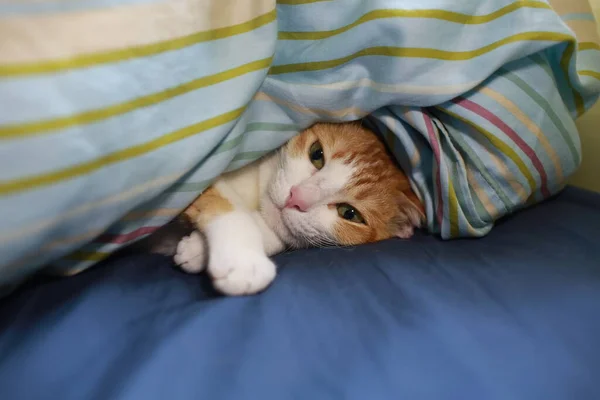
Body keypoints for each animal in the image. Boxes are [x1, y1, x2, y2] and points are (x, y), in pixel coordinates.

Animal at [169, 123, 424, 296]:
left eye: (349, 213)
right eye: (317, 154)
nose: (296, 198)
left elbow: (278, 235)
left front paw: (197, 250)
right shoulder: (198, 181)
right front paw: (243, 261)